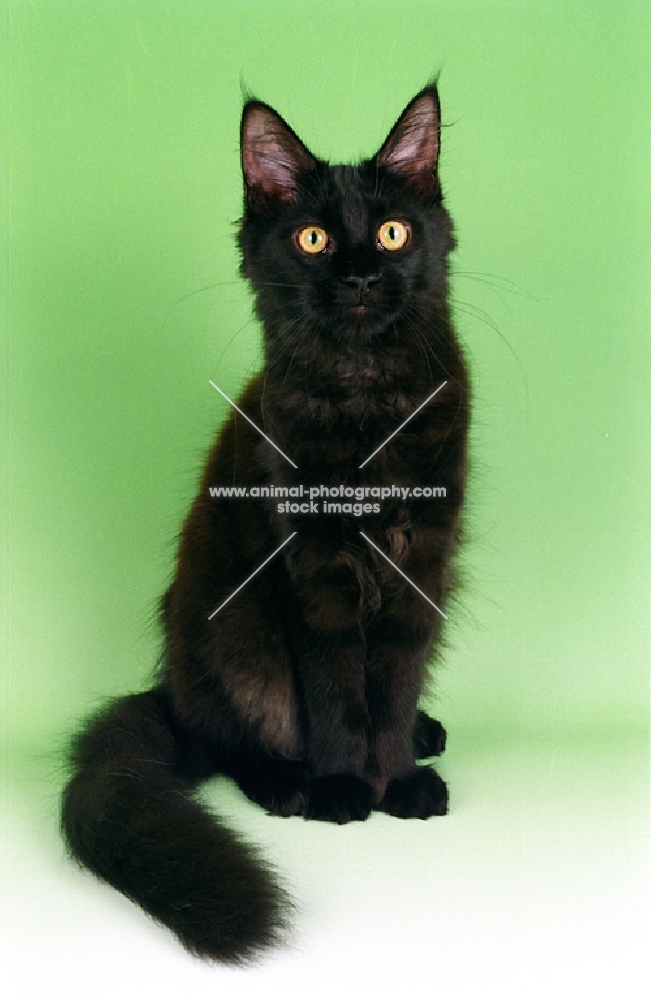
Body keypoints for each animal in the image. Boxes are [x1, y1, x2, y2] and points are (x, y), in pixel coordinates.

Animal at [59, 84, 468, 960]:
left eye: (393, 232)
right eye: (313, 239)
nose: (359, 276)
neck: (366, 400)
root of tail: (168, 691)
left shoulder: (422, 559)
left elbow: (393, 680)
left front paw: (397, 776)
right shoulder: (312, 571)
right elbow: (337, 690)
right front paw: (345, 786)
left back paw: (421, 736)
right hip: (235, 638)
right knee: (228, 741)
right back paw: (286, 781)